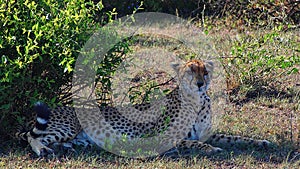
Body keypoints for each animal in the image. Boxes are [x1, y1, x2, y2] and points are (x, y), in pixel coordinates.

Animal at [15, 59, 270, 157]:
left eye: (204, 71)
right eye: (191, 70)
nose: (200, 83)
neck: (197, 101)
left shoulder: (209, 132)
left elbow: (235, 137)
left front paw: (261, 142)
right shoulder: (163, 137)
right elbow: (196, 143)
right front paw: (213, 149)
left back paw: (65, 147)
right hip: (66, 125)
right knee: (31, 136)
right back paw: (42, 149)